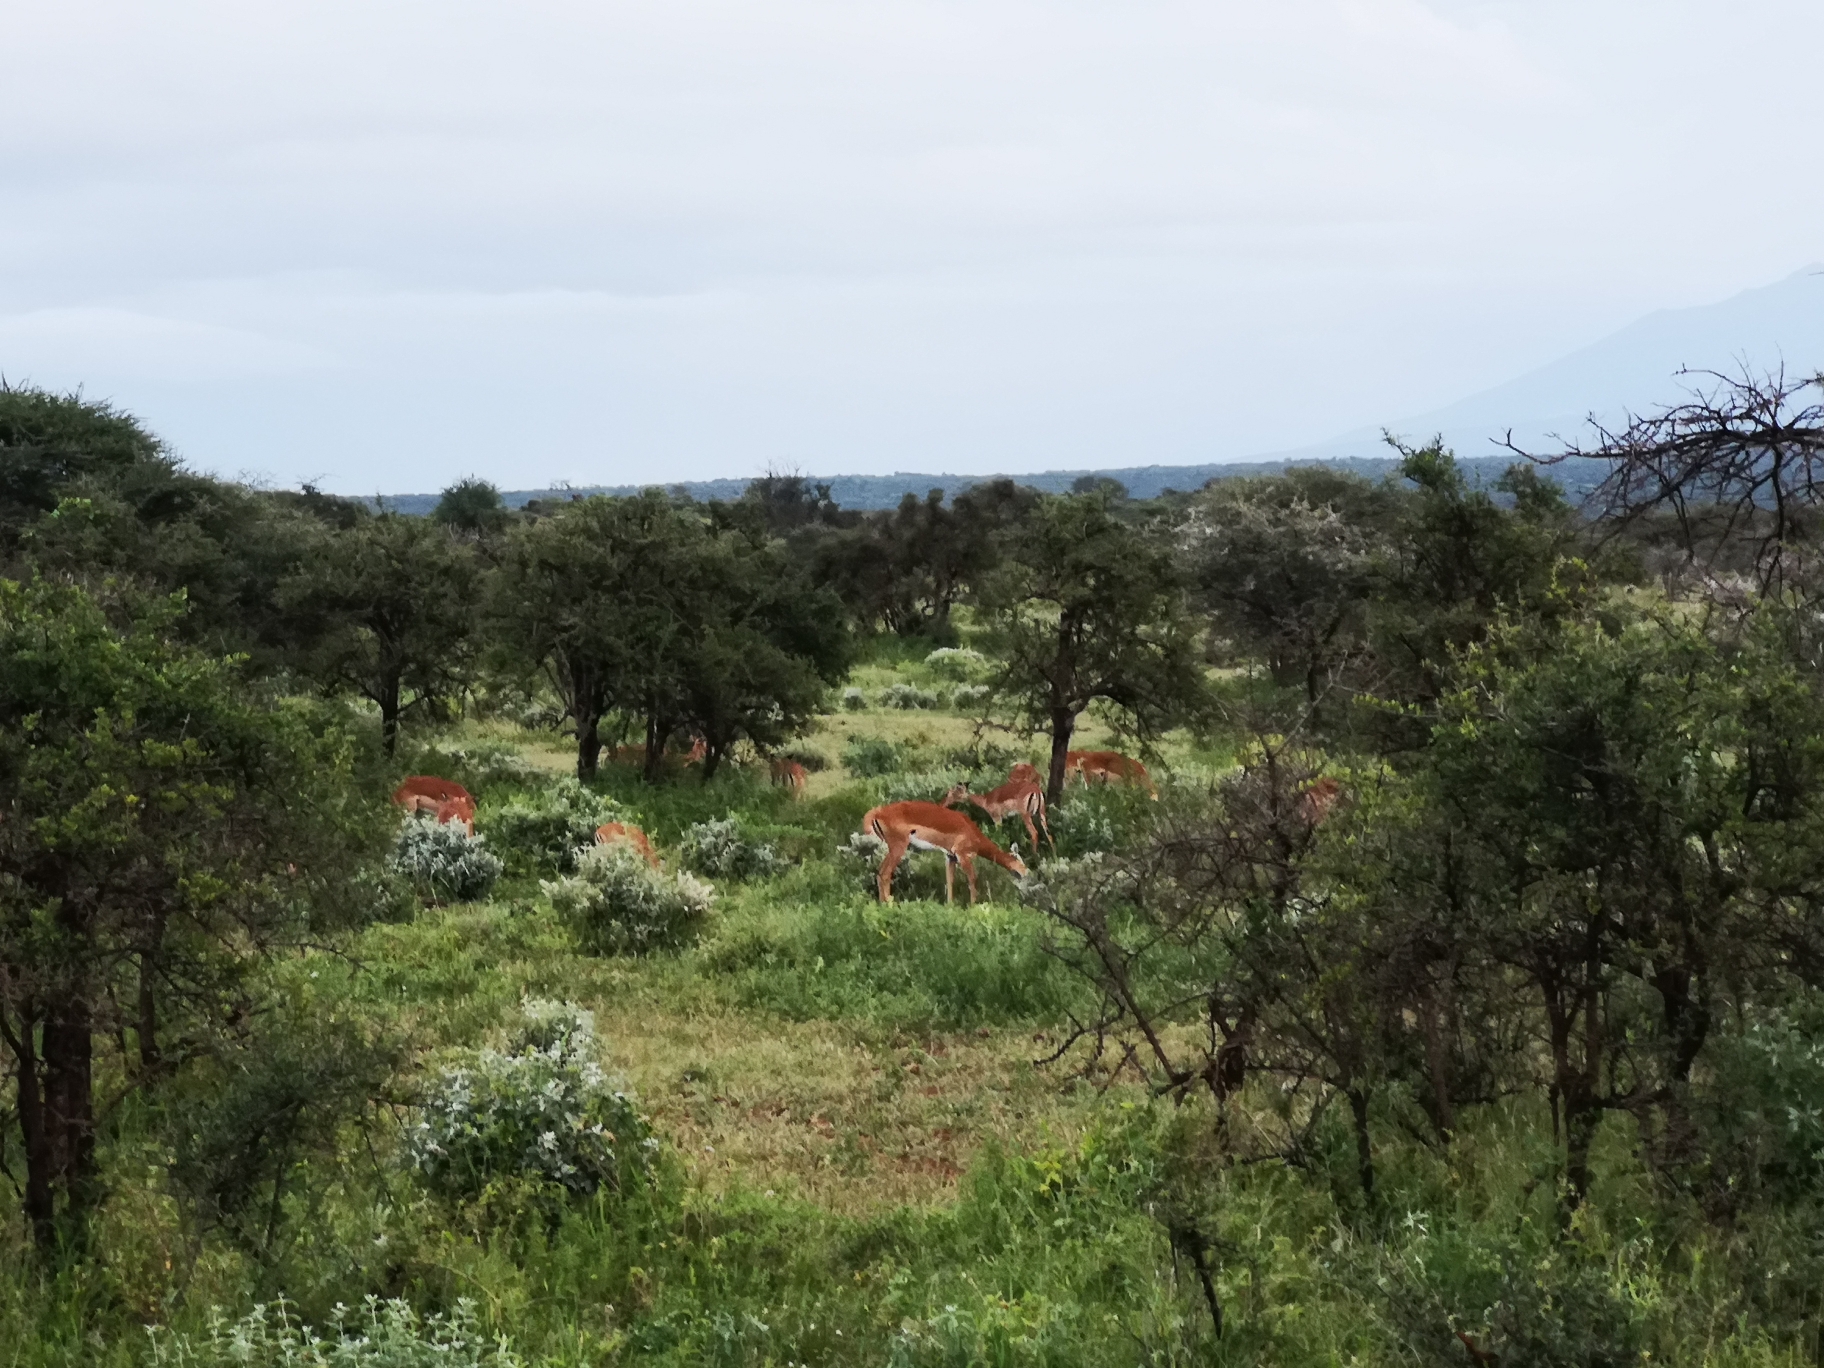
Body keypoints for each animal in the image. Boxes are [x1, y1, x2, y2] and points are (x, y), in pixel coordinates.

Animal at [857, 798, 1028, 904]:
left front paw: (950, 906)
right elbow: (972, 879)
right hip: (898, 847)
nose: (1026, 874)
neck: (972, 831)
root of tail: (877, 813)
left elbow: (949, 881)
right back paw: (888, 904)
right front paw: (973, 906)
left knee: (880, 873)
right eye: (1021, 861)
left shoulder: (950, 856)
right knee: (884, 874)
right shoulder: (962, 855)